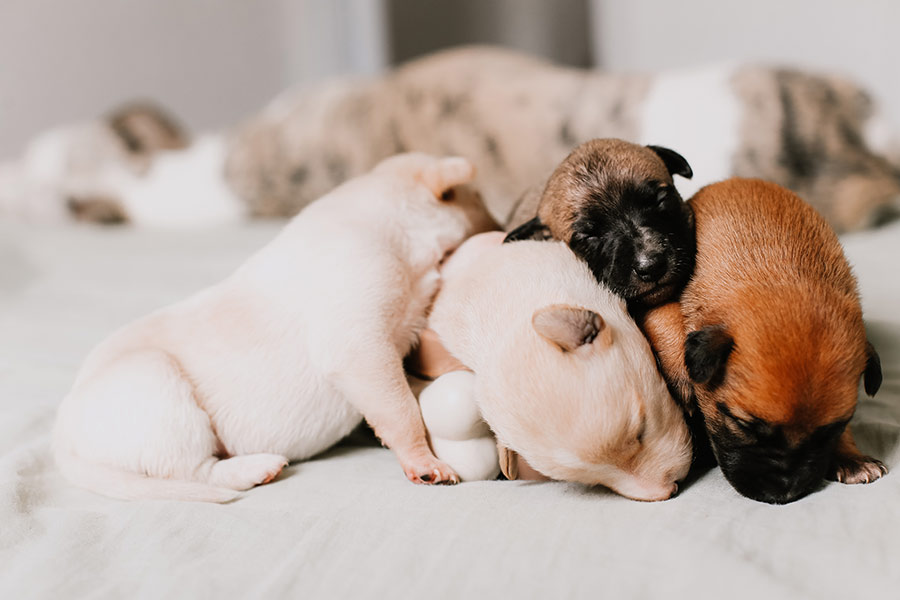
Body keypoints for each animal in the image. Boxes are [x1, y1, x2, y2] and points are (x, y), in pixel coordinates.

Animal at [54, 151, 500, 502]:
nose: (506, 226)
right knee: (194, 470)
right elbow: (401, 410)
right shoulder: (359, 342)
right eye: (479, 198)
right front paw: (425, 463)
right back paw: (255, 468)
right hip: (158, 388)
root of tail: (66, 436)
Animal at [640, 179, 884, 506]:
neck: (784, 269)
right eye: (744, 425)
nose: (785, 494)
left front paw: (852, 457)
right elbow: (664, 313)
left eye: (832, 431)